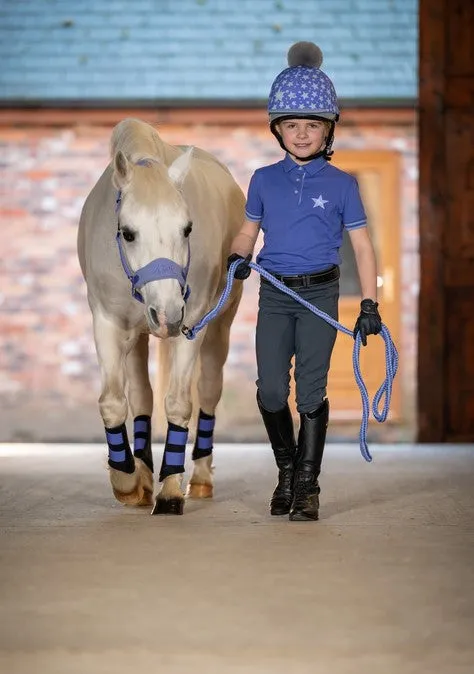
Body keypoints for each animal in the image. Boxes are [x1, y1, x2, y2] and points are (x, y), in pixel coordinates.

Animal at [77, 118, 244, 512]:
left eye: (187, 229)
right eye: (127, 233)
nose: (168, 313)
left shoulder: (193, 325)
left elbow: (180, 403)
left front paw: (169, 489)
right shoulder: (107, 323)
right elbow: (114, 401)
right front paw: (126, 481)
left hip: (220, 326)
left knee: (209, 390)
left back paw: (199, 478)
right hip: (139, 333)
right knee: (141, 395)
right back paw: (141, 475)